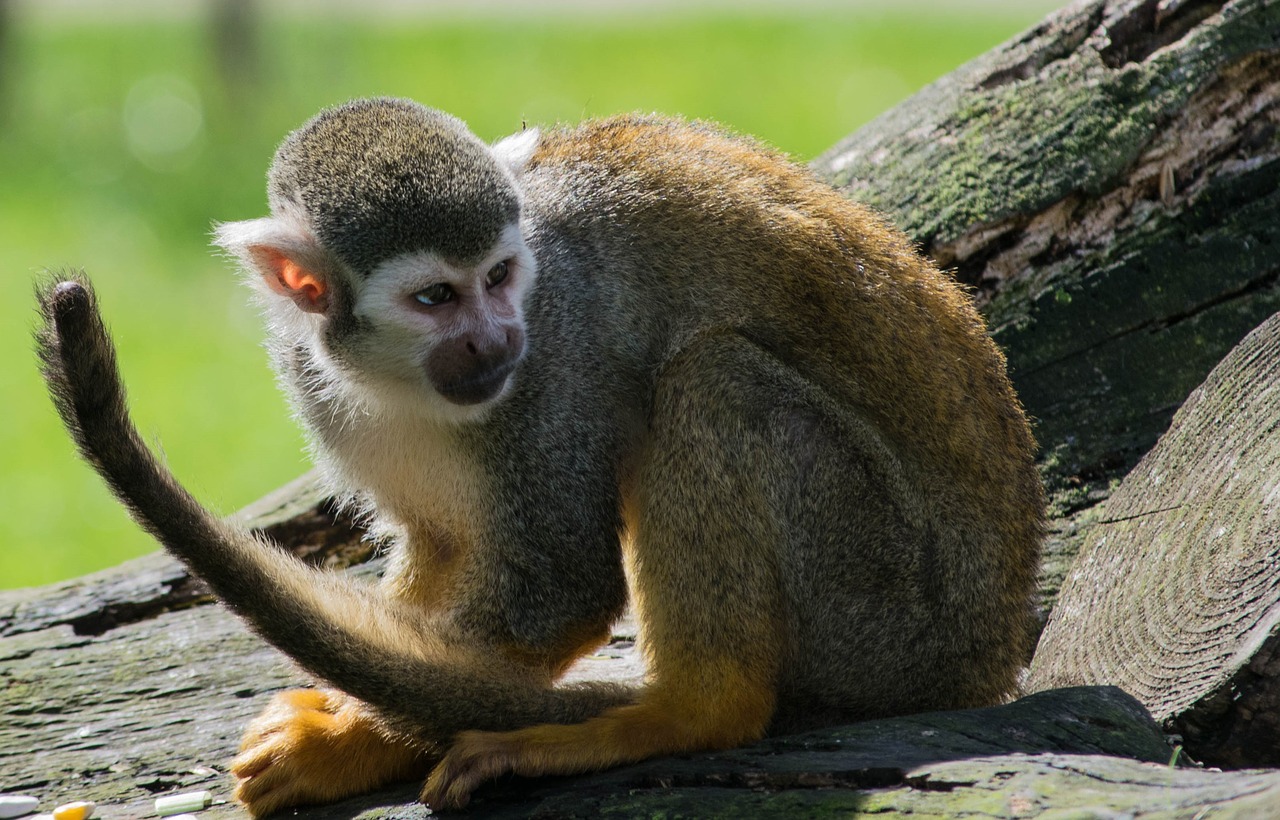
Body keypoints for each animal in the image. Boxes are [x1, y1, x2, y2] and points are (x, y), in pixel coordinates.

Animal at [35, 99, 1044, 813]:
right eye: (436, 297)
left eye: (501, 277)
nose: (495, 341)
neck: (397, 379)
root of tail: (989, 661)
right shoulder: (310, 370)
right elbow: (442, 547)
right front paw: (358, 724)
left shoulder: (557, 354)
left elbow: (559, 587)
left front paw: (357, 739)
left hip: (885, 607)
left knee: (712, 381)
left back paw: (686, 713)